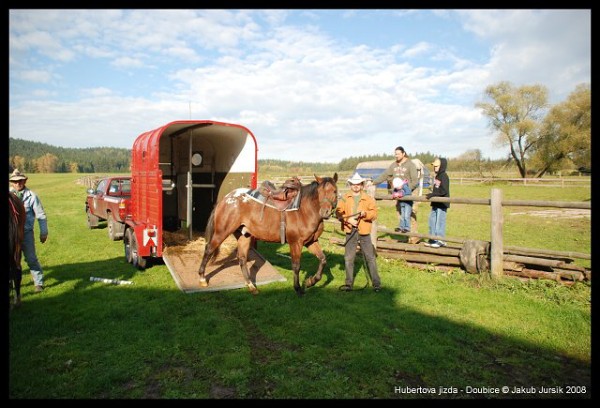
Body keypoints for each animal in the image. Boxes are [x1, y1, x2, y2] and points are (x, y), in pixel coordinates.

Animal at [197, 174, 338, 294]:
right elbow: (296, 265)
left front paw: (311, 281)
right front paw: (298, 288)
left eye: (335, 191)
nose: (325, 212)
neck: (304, 210)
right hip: (222, 232)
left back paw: (251, 286)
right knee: (209, 250)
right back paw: (202, 279)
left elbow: (323, 260)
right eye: (319, 192)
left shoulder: (311, 242)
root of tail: (226, 199)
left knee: (242, 259)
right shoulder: (296, 243)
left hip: (244, 236)